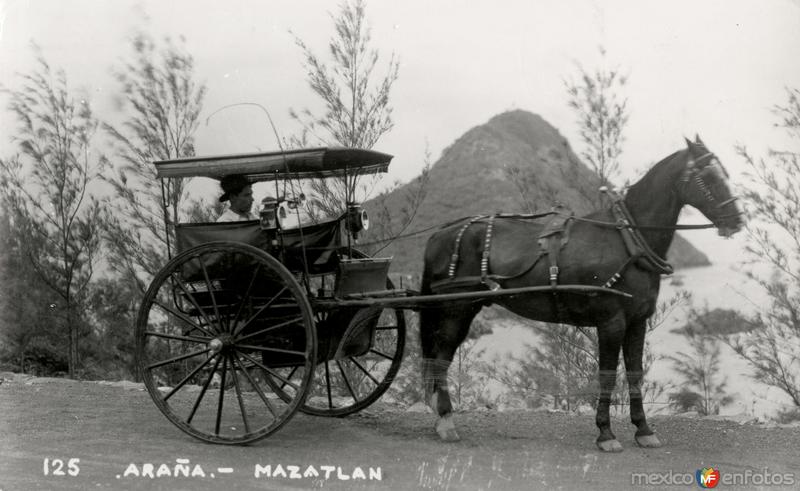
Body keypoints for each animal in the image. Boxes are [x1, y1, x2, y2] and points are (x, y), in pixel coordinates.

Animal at [418, 135, 744, 454]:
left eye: (725, 173)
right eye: (708, 176)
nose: (737, 220)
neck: (627, 241)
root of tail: (440, 233)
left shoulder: (637, 322)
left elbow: (635, 373)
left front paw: (643, 429)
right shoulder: (611, 321)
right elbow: (607, 375)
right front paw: (605, 433)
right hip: (457, 308)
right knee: (441, 358)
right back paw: (446, 420)